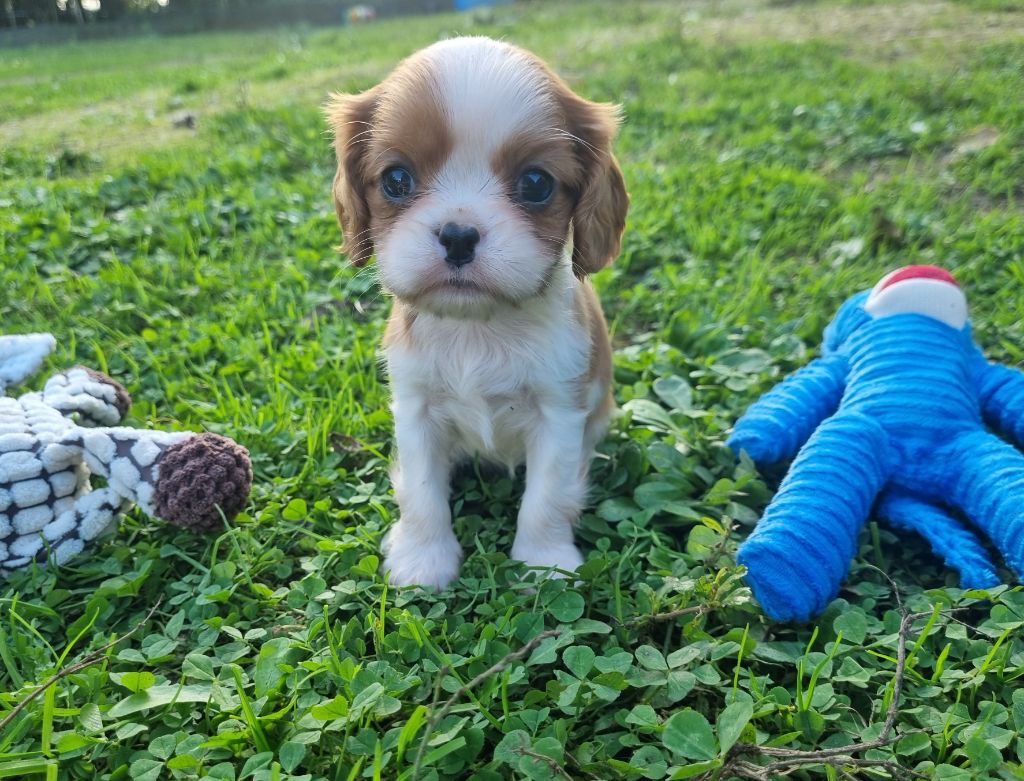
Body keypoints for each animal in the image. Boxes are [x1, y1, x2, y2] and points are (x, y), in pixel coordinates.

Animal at [325, 35, 622, 585]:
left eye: (536, 183)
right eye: (396, 179)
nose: (458, 235)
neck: (477, 328)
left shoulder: (559, 411)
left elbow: (546, 497)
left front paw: (544, 562)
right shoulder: (416, 407)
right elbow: (423, 493)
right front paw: (423, 561)